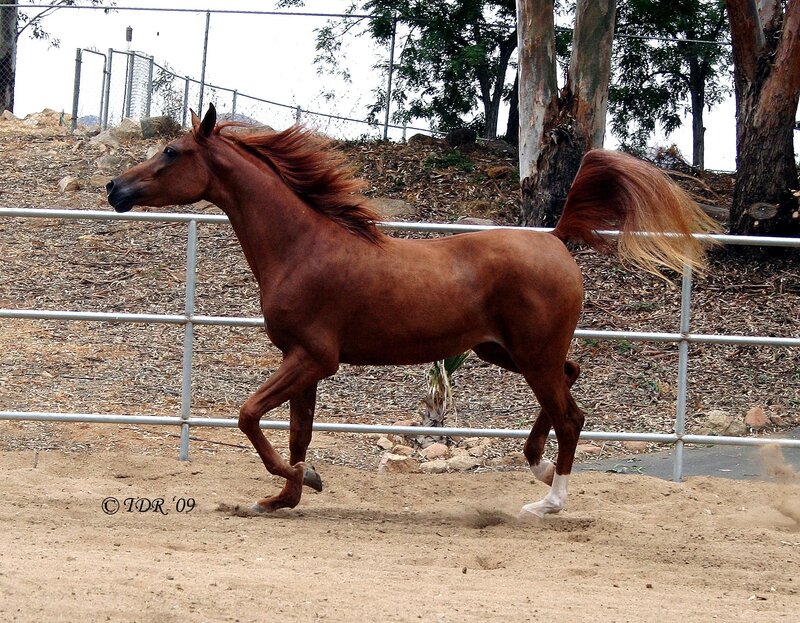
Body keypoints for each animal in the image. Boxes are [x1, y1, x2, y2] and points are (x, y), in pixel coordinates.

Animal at [107, 104, 716, 518]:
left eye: (172, 152)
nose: (115, 188)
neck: (302, 246)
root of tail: (555, 237)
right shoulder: (301, 362)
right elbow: (297, 433)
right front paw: (286, 495)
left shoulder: (313, 358)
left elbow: (249, 415)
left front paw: (301, 483)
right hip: (505, 352)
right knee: (572, 384)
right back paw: (538, 466)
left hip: (530, 355)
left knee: (570, 414)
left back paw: (549, 501)